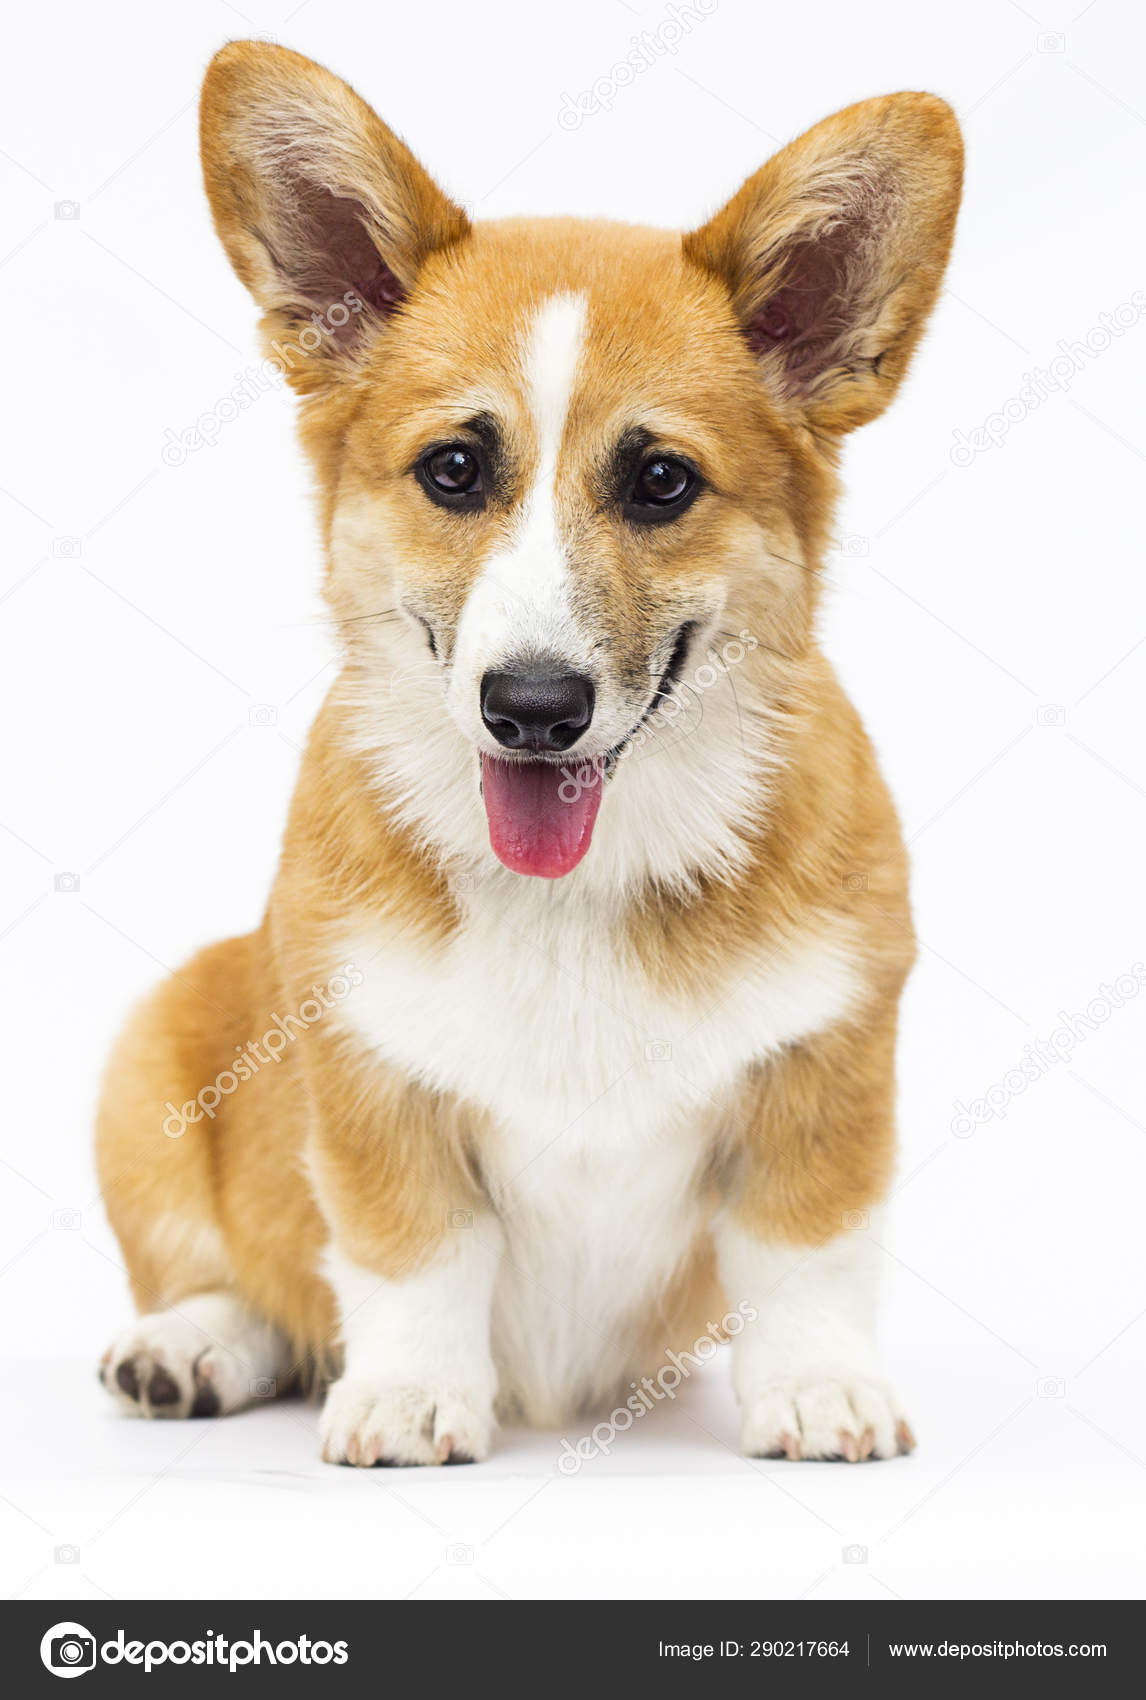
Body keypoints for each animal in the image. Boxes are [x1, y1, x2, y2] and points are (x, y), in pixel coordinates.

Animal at [96, 46, 952, 1468]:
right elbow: (410, 1250)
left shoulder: (829, 1060)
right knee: (236, 1276)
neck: (580, 889)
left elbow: (806, 1250)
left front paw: (820, 1388)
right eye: (453, 468)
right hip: (152, 1047)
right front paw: (406, 1398)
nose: (534, 708)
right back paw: (191, 1347)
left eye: (661, 481)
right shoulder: (368, 1079)